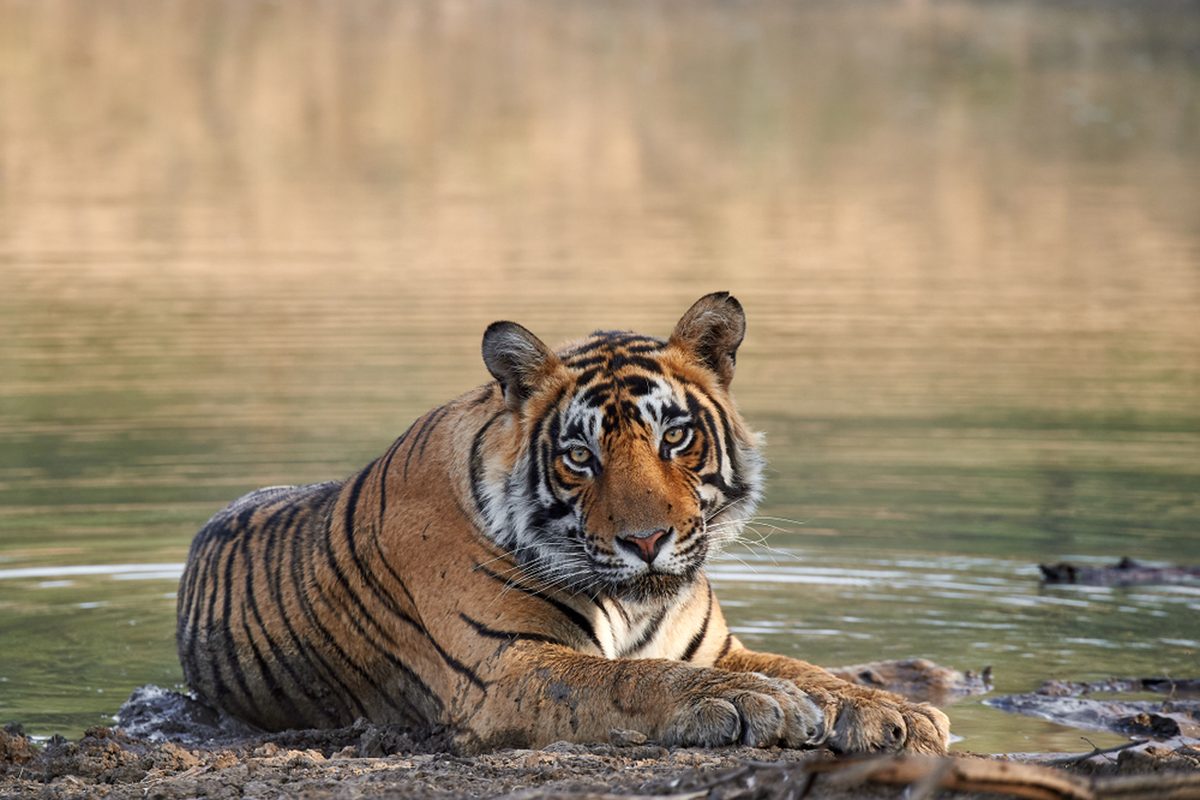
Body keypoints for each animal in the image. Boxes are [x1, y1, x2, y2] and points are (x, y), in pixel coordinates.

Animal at [176, 292, 951, 754]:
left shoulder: (717, 647)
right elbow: (632, 679)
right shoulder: (505, 668)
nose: (646, 541)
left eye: (674, 438)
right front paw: (751, 703)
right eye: (580, 456)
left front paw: (896, 711)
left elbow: (807, 670)